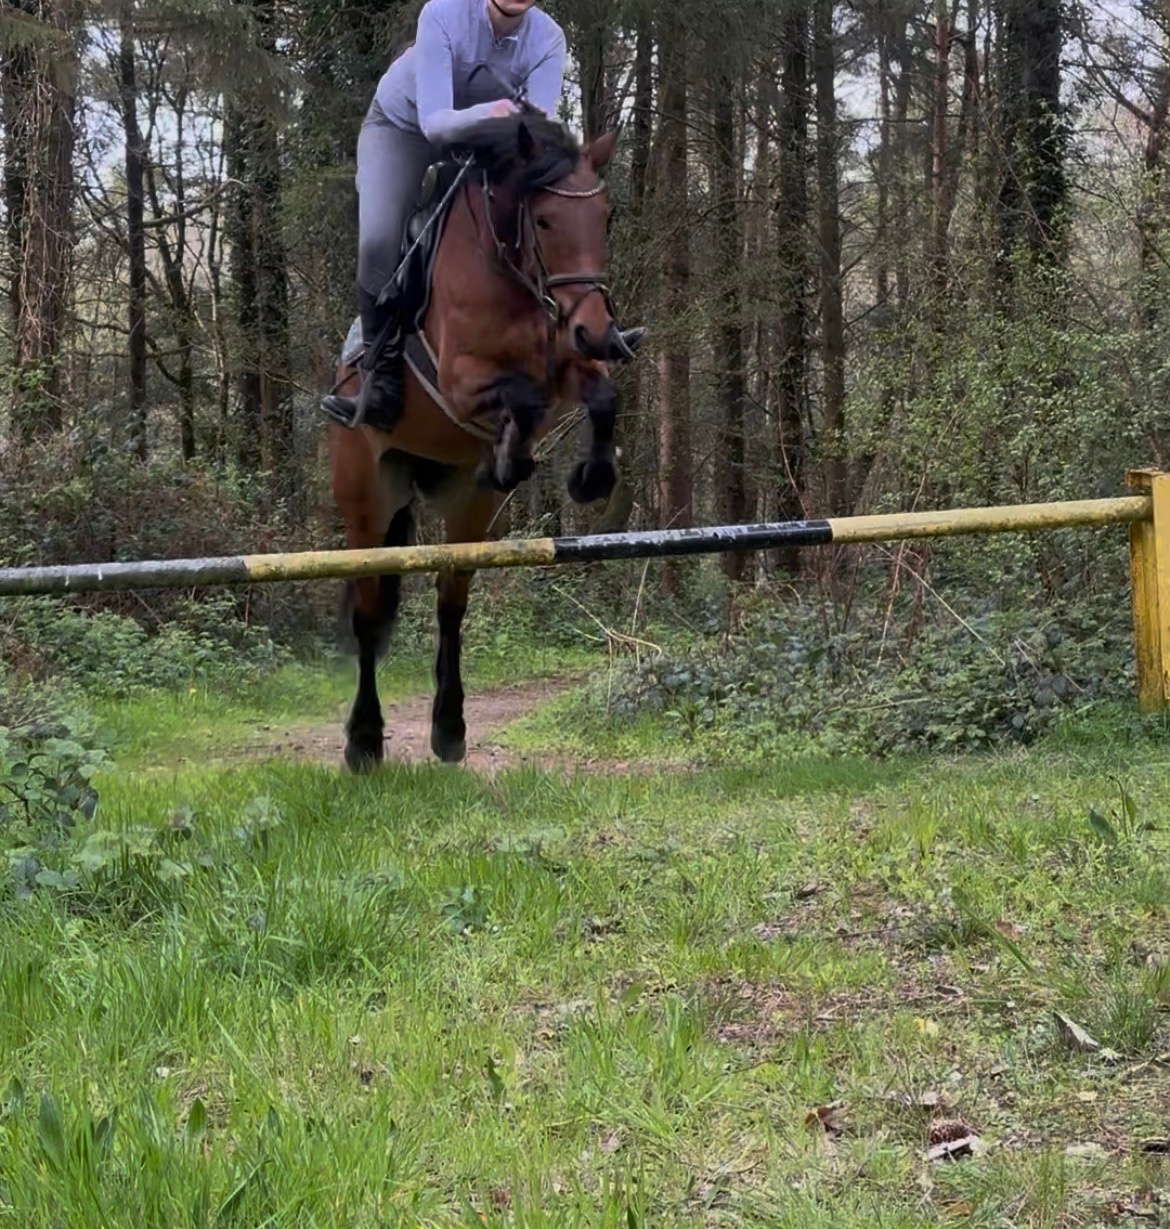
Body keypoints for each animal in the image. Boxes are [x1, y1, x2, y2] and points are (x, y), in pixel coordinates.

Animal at [323, 113, 641, 771]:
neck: (514, 272)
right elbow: (522, 398)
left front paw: (589, 477)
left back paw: (450, 730)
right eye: (543, 220)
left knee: (451, 604)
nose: (598, 330)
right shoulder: (461, 381)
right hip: (365, 499)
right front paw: (513, 457)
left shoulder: (568, 359)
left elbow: (601, 395)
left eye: (604, 217)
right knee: (368, 615)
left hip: (467, 511)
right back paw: (363, 741)